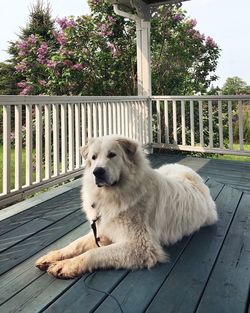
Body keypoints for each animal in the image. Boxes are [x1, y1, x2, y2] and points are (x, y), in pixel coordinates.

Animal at [36, 135, 218, 276]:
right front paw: (53, 255)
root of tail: (194, 176)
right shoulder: (103, 230)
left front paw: (66, 265)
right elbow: (76, 244)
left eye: (112, 155)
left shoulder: (140, 246)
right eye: (93, 158)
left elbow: (94, 252)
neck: (113, 194)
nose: (97, 172)